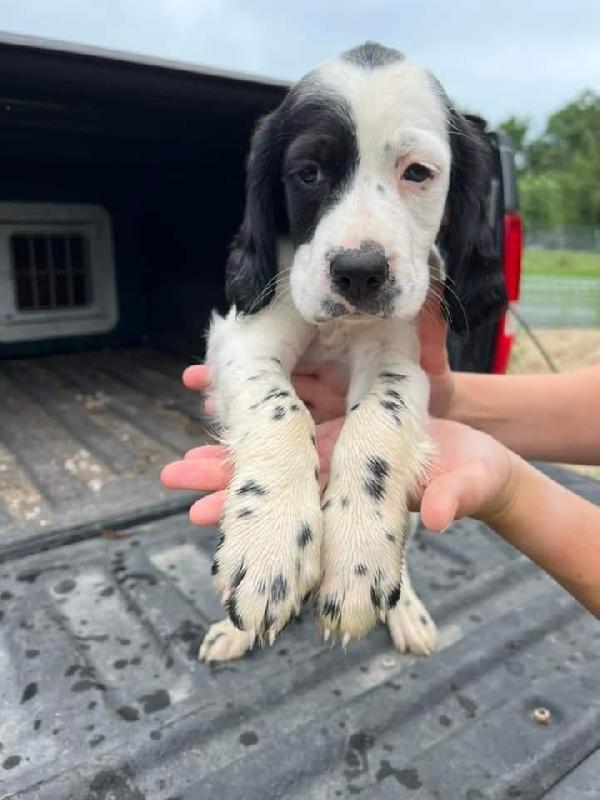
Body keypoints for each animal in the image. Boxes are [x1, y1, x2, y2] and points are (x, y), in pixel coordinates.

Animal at [199, 42, 504, 664]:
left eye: (417, 173)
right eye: (308, 173)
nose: (359, 272)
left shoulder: (402, 360)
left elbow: (378, 420)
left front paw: (358, 559)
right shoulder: (243, 340)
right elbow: (280, 408)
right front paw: (269, 541)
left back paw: (404, 605)